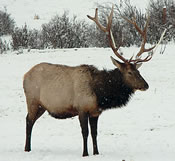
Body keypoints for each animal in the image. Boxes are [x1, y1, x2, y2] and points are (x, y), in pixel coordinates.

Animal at [23, 5, 165, 157]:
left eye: (139, 71)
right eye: (130, 72)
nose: (146, 85)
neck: (100, 94)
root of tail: (24, 75)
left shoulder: (95, 112)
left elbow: (94, 133)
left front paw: (96, 153)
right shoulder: (81, 108)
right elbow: (85, 133)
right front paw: (85, 153)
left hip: (42, 106)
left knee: (31, 121)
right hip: (32, 101)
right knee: (28, 121)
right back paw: (27, 148)